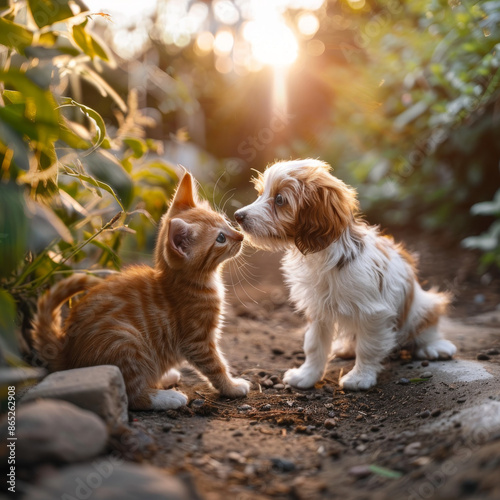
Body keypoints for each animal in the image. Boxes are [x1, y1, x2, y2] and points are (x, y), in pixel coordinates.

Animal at [31, 172, 250, 410]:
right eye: (220, 238)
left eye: (226, 222)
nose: (240, 236)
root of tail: (65, 352)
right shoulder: (197, 341)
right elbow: (216, 366)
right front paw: (231, 387)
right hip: (125, 340)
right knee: (133, 395)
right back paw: (167, 397)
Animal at [232, 160, 456, 390]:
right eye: (260, 193)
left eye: (279, 199)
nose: (238, 215)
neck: (322, 256)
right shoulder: (318, 310)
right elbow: (314, 345)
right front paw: (307, 376)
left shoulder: (373, 313)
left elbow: (368, 347)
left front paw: (360, 378)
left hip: (423, 304)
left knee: (427, 326)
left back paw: (434, 346)